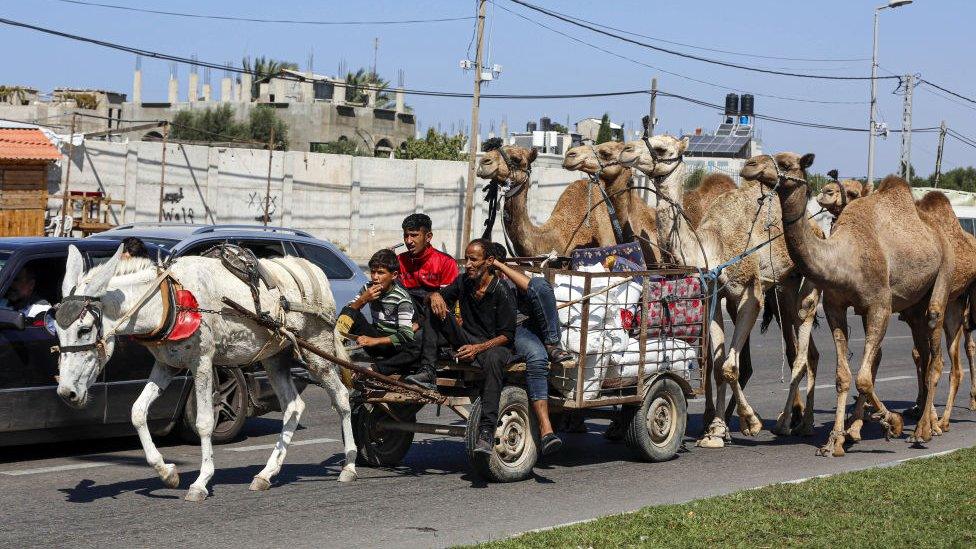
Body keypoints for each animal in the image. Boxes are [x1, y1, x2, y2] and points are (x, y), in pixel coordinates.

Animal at [53, 244, 358, 500]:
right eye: (56, 329)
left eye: (84, 329)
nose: (67, 392)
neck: (169, 299)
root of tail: (313, 269)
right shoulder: (167, 364)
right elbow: (137, 412)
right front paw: (166, 472)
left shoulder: (202, 361)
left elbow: (203, 422)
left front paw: (201, 482)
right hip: (274, 356)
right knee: (293, 406)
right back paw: (266, 474)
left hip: (317, 348)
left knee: (342, 398)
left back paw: (349, 464)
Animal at [616, 135, 824, 444]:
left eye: (662, 148)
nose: (626, 150)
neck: (712, 247)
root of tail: (816, 226)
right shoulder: (715, 295)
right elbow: (716, 365)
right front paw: (715, 429)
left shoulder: (750, 294)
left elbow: (728, 366)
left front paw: (750, 422)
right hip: (783, 287)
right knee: (806, 351)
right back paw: (798, 420)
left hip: (805, 281)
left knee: (801, 341)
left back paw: (792, 423)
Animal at [756, 153, 952, 454]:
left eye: (787, 164)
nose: (750, 165)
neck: (845, 255)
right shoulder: (836, 306)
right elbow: (844, 375)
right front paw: (836, 439)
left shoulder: (880, 306)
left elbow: (864, 376)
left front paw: (890, 422)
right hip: (914, 304)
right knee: (924, 352)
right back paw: (922, 420)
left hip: (942, 275)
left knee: (936, 350)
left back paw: (924, 430)